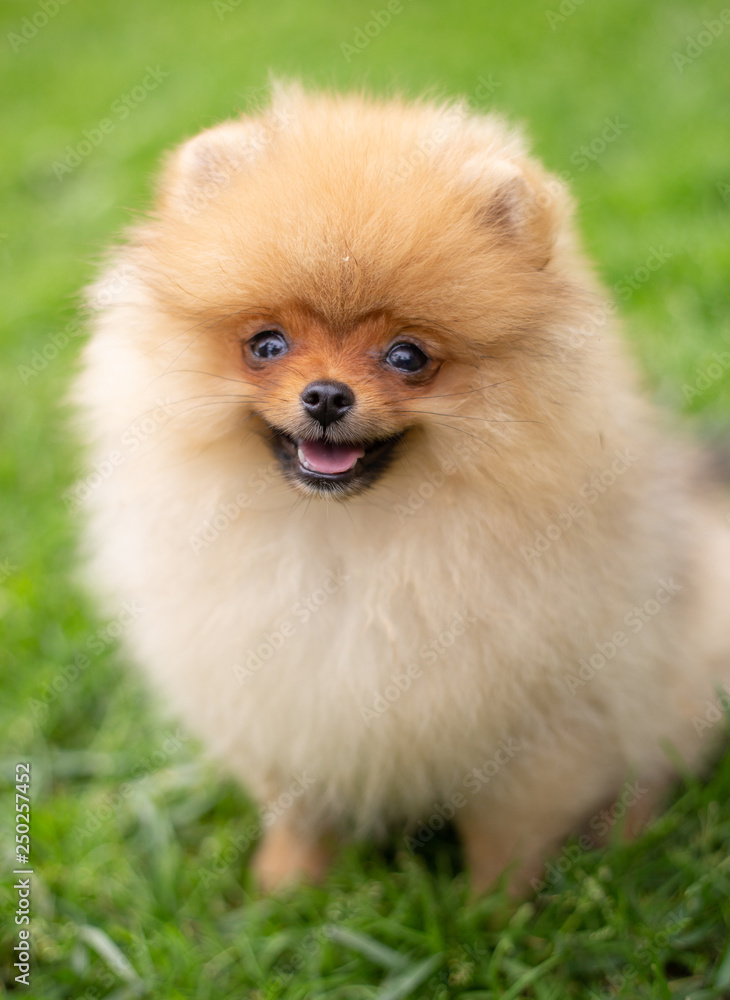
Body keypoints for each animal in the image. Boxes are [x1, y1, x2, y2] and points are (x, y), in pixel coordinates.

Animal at [75, 86, 728, 896]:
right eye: (267, 345)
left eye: (407, 356)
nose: (327, 395)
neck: (349, 541)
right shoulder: (276, 702)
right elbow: (296, 810)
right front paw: (283, 890)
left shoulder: (538, 729)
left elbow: (508, 835)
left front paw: (493, 912)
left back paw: (621, 837)